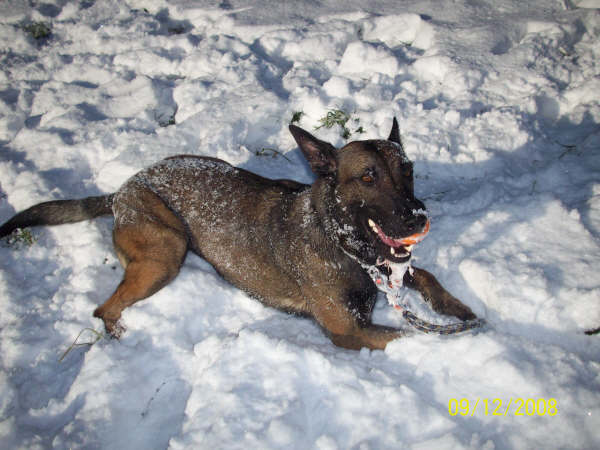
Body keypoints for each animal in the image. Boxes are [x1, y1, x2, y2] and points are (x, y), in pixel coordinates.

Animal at [0, 118, 477, 350]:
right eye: (367, 177)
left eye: (408, 170)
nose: (418, 217)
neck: (345, 243)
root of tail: (120, 190)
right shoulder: (351, 332)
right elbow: (413, 337)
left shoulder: (391, 269)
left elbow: (427, 277)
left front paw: (461, 311)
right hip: (166, 250)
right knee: (104, 308)